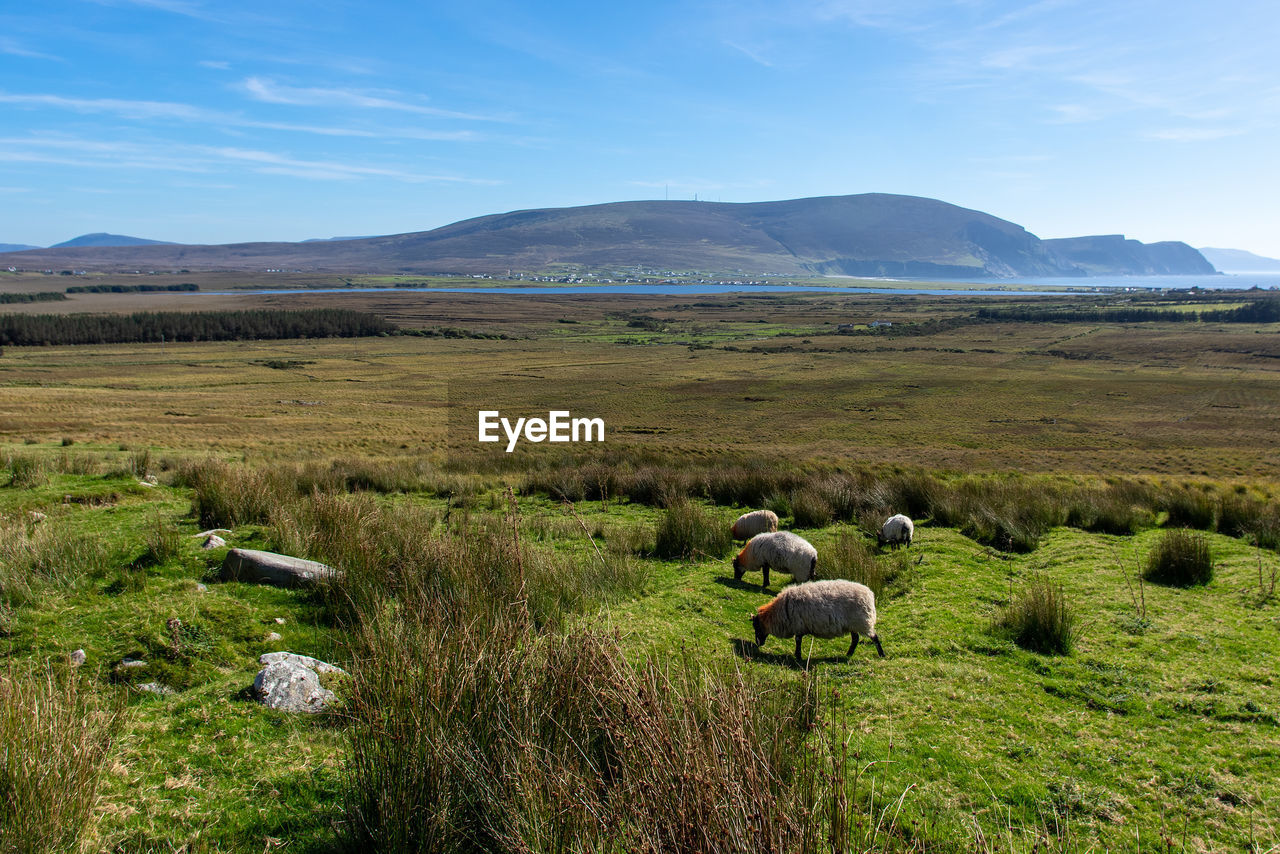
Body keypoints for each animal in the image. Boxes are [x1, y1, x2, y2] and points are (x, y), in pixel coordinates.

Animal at [747, 578, 885, 665]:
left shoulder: (798, 625)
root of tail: (869, 594)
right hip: (853, 625)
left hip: (862, 622)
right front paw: (798, 655)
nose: (758, 643)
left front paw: (798, 656)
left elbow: (798, 640)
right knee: (855, 639)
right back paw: (848, 654)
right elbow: (798, 640)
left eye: (756, 626)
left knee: (874, 637)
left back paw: (881, 654)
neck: (780, 611)